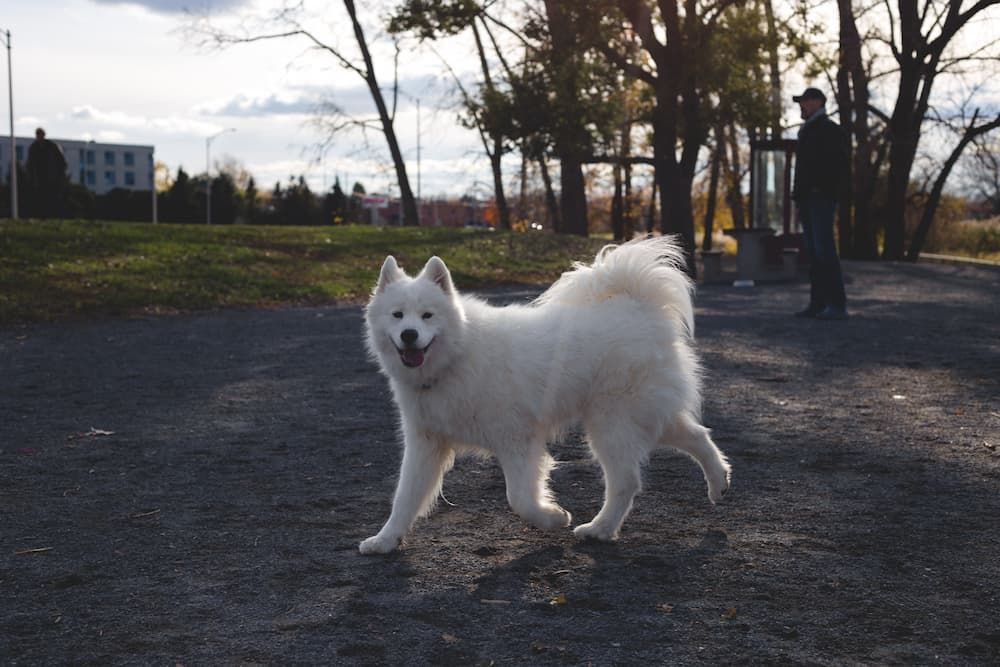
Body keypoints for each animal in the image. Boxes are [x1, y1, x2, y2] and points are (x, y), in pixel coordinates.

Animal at [358, 237, 728, 556]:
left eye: (427, 315)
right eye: (397, 315)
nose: (409, 335)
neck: (457, 355)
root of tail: (639, 306)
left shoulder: (517, 439)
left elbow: (519, 498)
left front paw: (552, 518)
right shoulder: (425, 443)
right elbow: (404, 497)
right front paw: (385, 540)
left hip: (612, 422)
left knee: (626, 481)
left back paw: (599, 529)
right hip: (641, 414)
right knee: (697, 435)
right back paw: (719, 482)